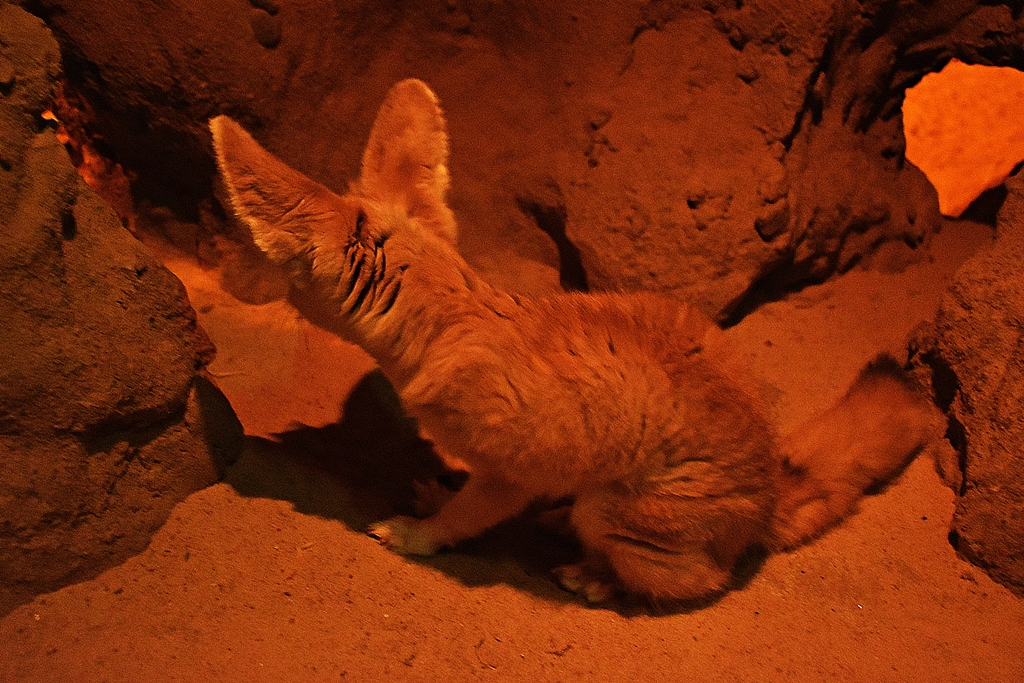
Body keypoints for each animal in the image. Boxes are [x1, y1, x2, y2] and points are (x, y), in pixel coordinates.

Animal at [209, 79, 938, 603]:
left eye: (279, 267)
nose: (240, 286)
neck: (454, 317)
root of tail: (767, 499)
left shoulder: (511, 471)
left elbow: (464, 520)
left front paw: (418, 533)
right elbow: (458, 496)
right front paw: (435, 496)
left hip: (614, 512)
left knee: (700, 581)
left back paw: (596, 575)